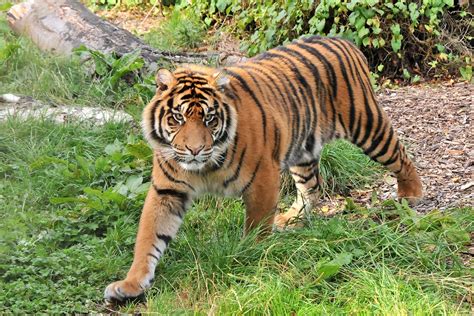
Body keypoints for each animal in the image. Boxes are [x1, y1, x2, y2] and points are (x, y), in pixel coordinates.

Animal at [104, 35, 422, 302]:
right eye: (178, 118)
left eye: (209, 119)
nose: (194, 150)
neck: (203, 167)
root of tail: (343, 40)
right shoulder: (166, 190)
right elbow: (148, 238)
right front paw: (130, 284)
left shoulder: (262, 176)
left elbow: (257, 224)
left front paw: (250, 256)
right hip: (303, 148)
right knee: (313, 186)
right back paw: (292, 218)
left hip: (366, 125)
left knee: (400, 153)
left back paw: (411, 194)